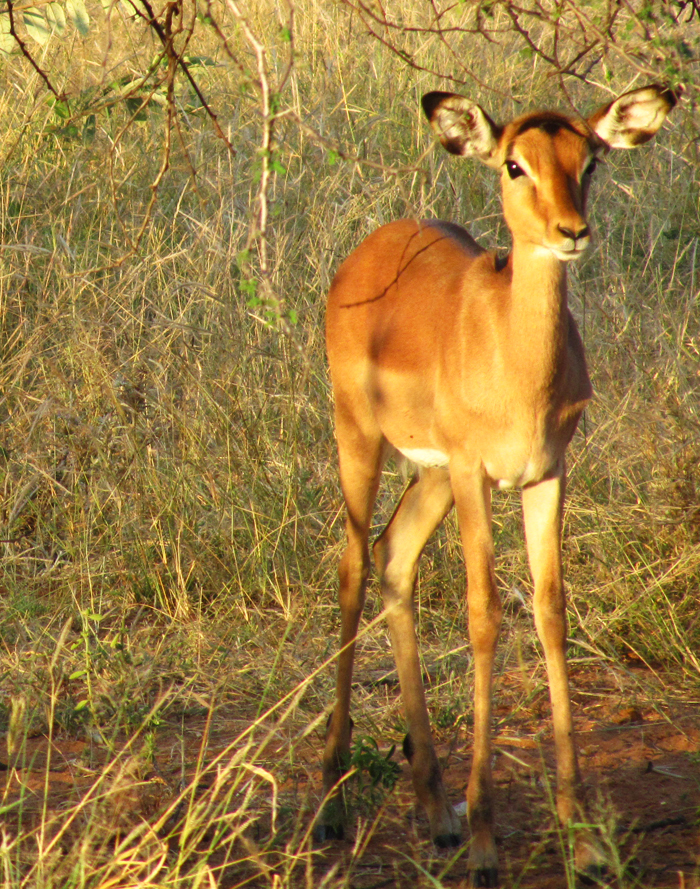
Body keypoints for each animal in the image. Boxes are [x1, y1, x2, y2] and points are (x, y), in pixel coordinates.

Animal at [318, 84, 676, 886]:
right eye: (515, 163)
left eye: (591, 158)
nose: (572, 231)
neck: (513, 356)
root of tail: (372, 248)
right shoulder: (477, 475)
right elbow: (483, 616)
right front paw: (486, 842)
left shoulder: (547, 474)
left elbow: (550, 612)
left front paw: (580, 838)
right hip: (362, 440)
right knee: (353, 567)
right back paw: (333, 804)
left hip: (428, 475)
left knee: (393, 557)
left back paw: (434, 809)